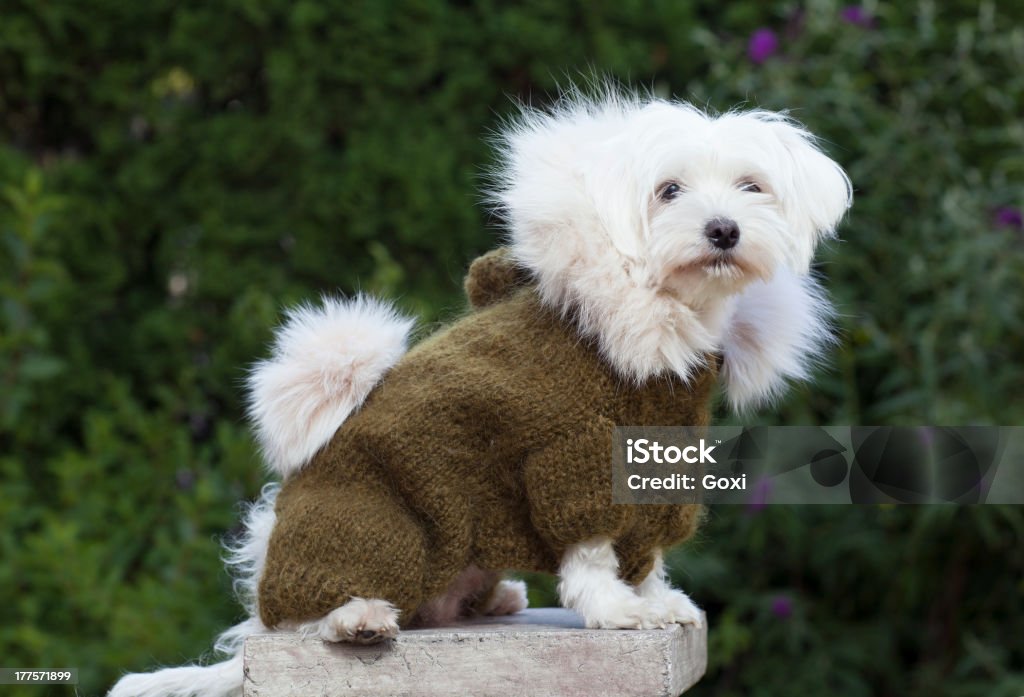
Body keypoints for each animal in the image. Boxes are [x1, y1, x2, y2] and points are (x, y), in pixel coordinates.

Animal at [110, 89, 847, 695]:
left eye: (752, 186)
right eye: (668, 190)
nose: (723, 228)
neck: (652, 311)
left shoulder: (654, 466)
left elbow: (645, 554)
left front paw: (655, 598)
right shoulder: (571, 456)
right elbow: (591, 552)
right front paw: (613, 610)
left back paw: (485, 600)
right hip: (378, 526)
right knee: (300, 621)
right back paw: (357, 617)